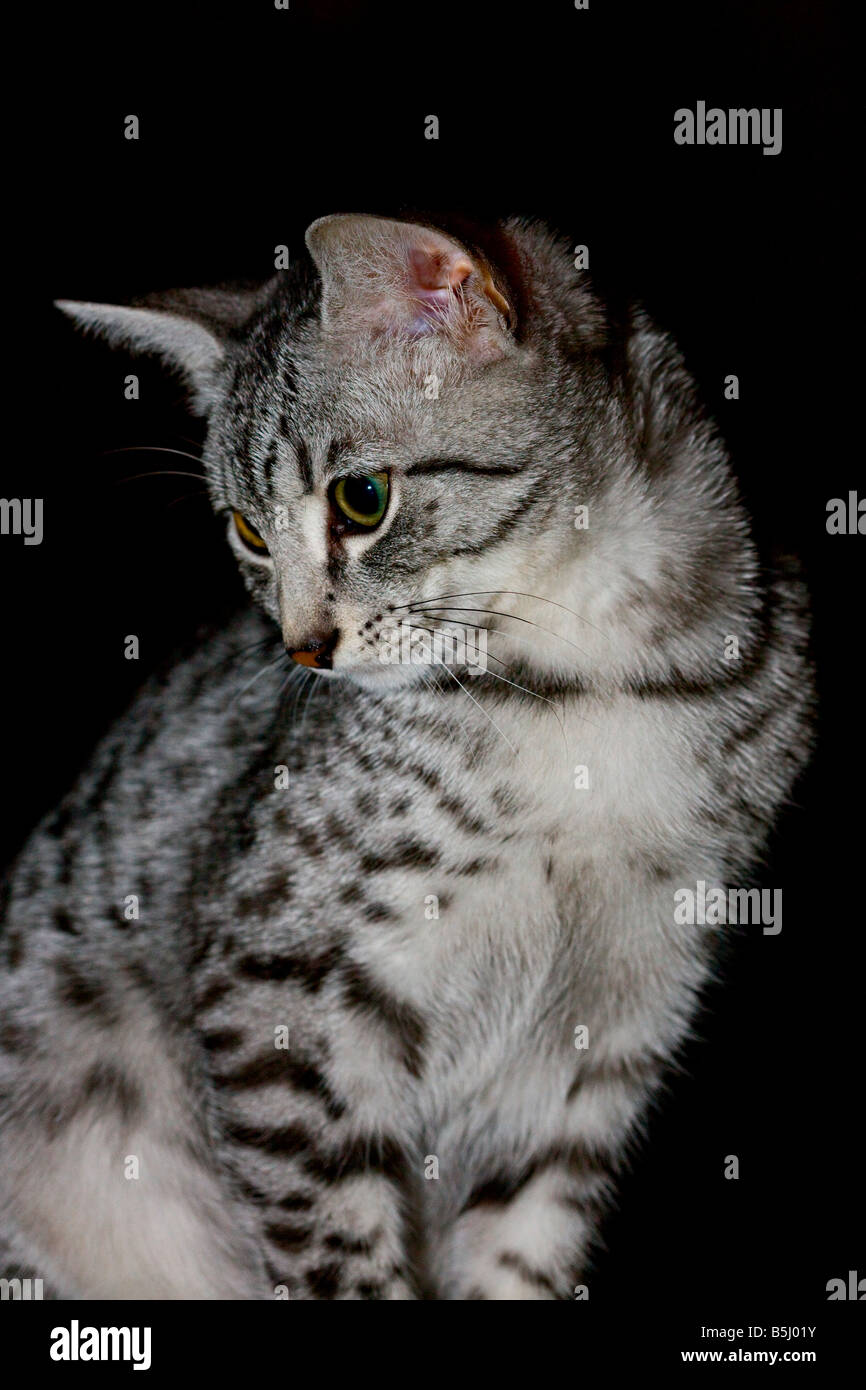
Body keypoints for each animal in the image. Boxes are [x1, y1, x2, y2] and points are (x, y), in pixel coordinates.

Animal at [0, 211, 811, 1295]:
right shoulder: (273, 993)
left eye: (361, 499)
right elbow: (340, 1251)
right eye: (248, 529)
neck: (589, 685)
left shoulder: (619, 1024)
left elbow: (523, 1247)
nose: (302, 646)